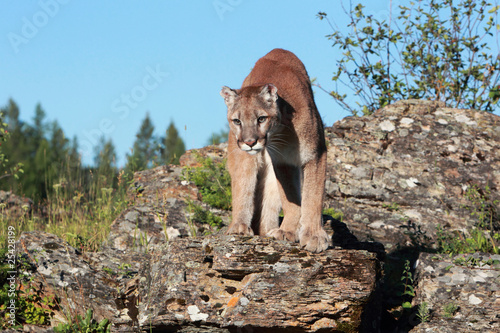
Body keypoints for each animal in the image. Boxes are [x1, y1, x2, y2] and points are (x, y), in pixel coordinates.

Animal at [221, 48, 330, 252]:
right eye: (237, 121)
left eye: (261, 119)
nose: (250, 142)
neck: (281, 132)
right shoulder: (283, 162)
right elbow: (290, 200)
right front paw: (288, 231)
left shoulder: (315, 154)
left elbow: (313, 196)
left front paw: (313, 235)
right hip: (243, 157)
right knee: (243, 186)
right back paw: (239, 226)